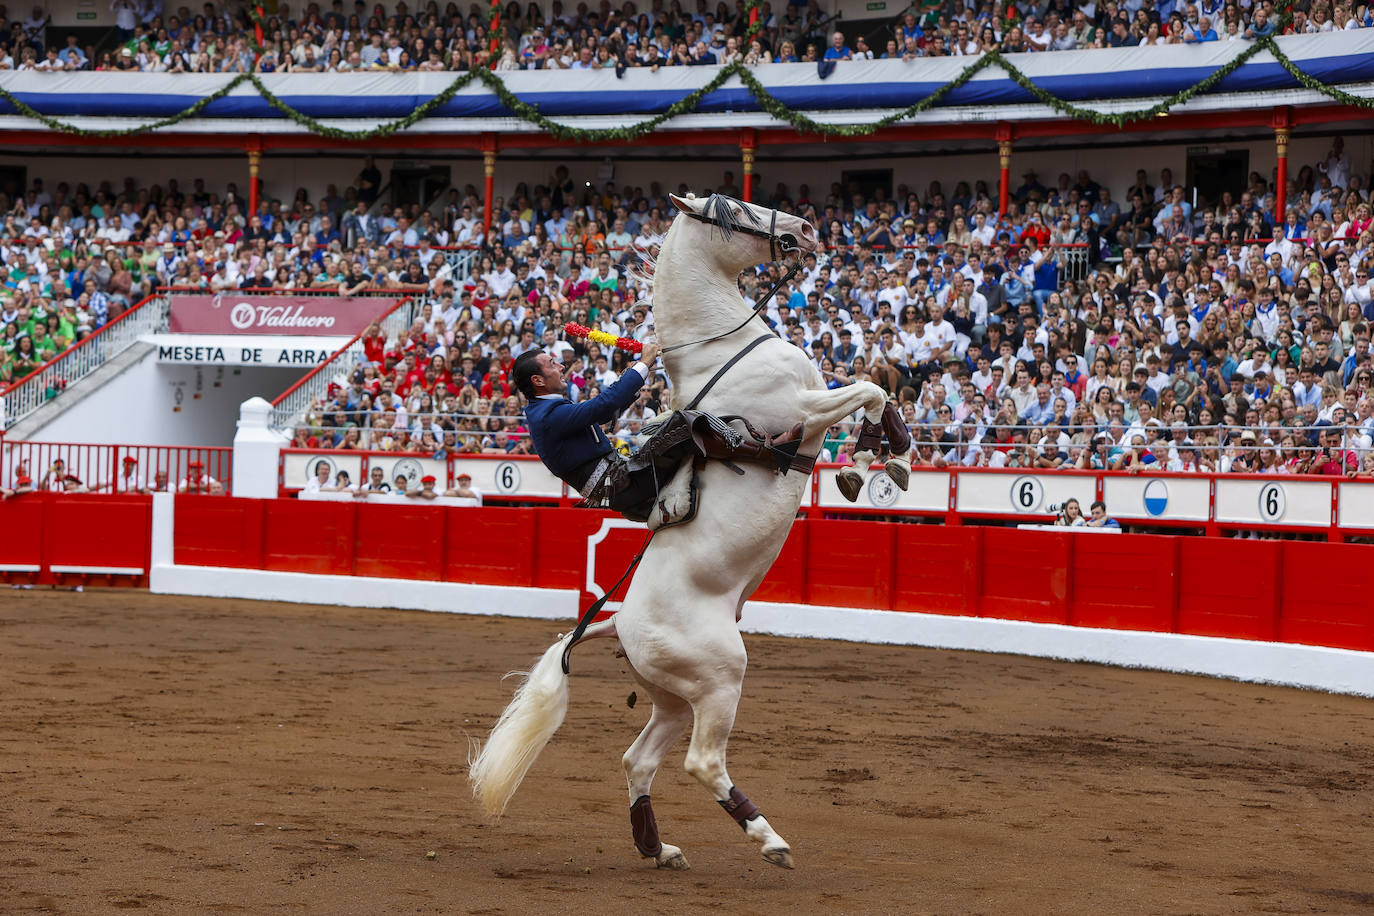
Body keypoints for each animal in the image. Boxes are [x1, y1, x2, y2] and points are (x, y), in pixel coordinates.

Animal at [469, 195, 912, 873]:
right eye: (734, 210)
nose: (808, 229)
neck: (722, 350)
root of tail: (617, 623)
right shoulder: (803, 408)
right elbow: (869, 387)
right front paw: (870, 464)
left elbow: (875, 386)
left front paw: (880, 457)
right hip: (721, 679)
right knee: (702, 762)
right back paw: (770, 840)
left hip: (675, 699)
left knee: (638, 759)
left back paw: (659, 848)